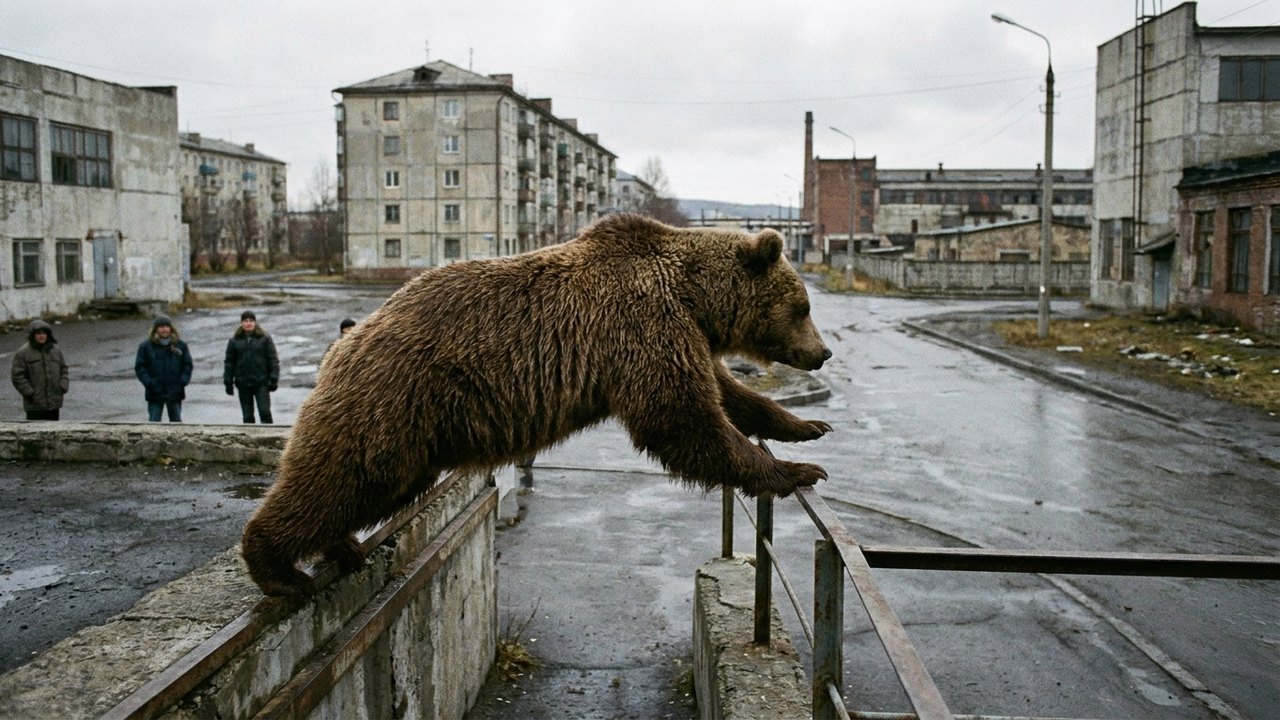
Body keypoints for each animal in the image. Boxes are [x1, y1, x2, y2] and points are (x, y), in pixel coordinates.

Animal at [241, 213, 832, 597]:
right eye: (803, 306)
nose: (822, 352)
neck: (693, 297)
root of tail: (343, 343)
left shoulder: (680, 337)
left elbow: (729, 396)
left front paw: (806, 426)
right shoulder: (641, 325)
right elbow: (683, 418)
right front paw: (796, 471)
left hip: (410, 428)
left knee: (373, 487)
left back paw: (340, 546)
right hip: (393, 398)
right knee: (341, 477)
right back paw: (278, 569)